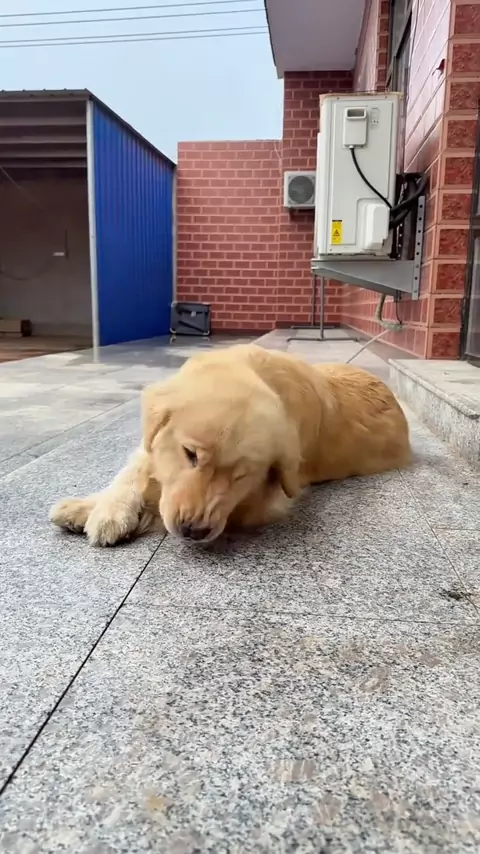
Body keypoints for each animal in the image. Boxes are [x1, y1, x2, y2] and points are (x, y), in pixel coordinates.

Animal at [50, 344, 411, 546]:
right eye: (191, 455)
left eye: (241, 476)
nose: (194, 530)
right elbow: (133, 473)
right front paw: (96, 509)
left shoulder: (259, 503)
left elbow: (156, 497)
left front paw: (122, 517)